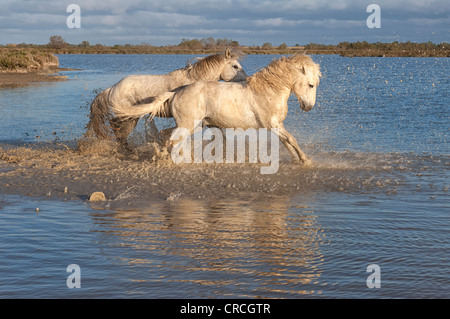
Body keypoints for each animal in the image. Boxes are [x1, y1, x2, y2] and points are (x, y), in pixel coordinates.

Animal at [84, 48, 246, 145]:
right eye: (235, 66)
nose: (246, 79)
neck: (194, 79)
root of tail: (112, 88)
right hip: (128, 116)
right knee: (116, 127)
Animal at [114, 54, 322, 165]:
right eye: (311, 85)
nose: (308, 107)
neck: (268, 90)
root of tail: (176, 92)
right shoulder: (273, 125)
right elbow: (291, 140)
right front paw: (306, 161)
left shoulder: (277, 125)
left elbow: (287, 142)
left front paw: (298, 160)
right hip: (188, 125)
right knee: (173, 142)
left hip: (194, 126)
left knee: (172, 140)